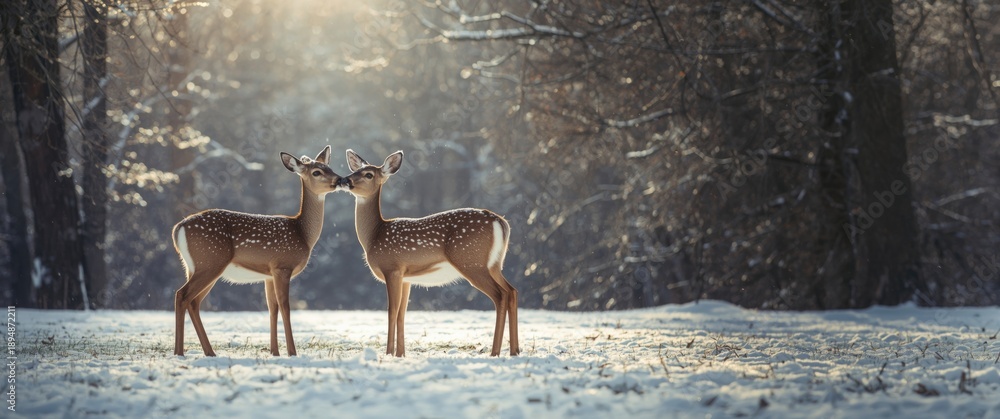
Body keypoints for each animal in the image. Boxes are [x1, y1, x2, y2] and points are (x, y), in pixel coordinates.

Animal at [172, 145, 343, 357]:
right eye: (317, 172)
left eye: (329, 167)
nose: (339, 179)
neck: (302, 233)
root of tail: (178, 228)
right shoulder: (282, 266)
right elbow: (285, 306)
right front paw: (292, 352)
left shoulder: (268, 275)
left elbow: (272, 307)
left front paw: (274, 352)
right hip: (210, 261)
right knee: (182, 295)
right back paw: (180, 352)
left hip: (195, 267)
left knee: (193, 302)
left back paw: (208, 352)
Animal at [341, 149, 519, 357]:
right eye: (355, 170)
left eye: (368, 174)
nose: (345, 180)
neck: (374, 236)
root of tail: (501, 222)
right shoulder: (406, 278)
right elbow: (402, 313)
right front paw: (401, 354)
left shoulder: (392, 268)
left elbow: (392, 310)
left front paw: (389, 353)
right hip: (494, 264)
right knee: (511, 291)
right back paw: (515, 351)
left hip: (471, 261)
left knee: (500, 295)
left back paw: (495, 352)